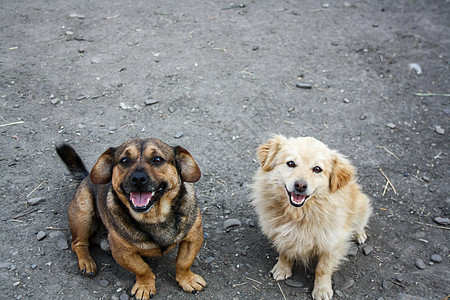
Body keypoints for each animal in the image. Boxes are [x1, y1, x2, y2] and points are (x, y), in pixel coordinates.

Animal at [55, 138, 207, 298]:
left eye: (158, 159)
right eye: (124, 160)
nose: (138, 178)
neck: (155, 216)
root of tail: (85, 177)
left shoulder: (193, 238)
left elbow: (184, 262)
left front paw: (187, 280)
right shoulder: (122, 252)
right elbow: (142, 268)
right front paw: (145, 286)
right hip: (83, 213)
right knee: (78, 243)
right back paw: (87, 262)